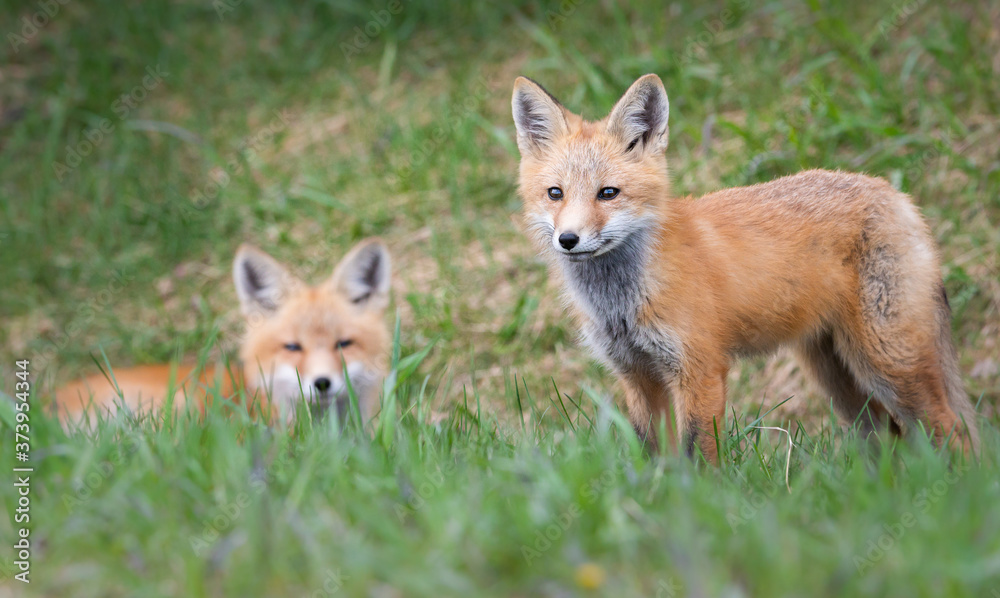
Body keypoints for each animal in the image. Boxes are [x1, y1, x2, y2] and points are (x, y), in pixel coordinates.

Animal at [511, 73, 979, 462]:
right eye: (555, 193)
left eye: (608, 193)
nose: (568, 240)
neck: (622, 303)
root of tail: (894, 192)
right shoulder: (637, 376)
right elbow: (654, 457)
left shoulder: (699, 370)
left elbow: (698, 454)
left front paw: (702, 504)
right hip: (837, 377)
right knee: (887, 437)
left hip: (887, 361)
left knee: (952, 429)